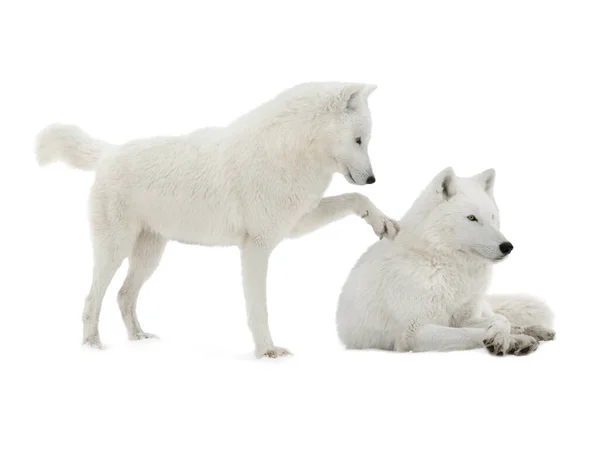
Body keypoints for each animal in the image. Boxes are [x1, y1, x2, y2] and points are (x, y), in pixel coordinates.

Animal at [38, 80, 404, 356]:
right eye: (359, 139)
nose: (372, 178)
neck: (288, 151)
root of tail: (109, 152)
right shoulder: (256, 248)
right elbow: (258, 308)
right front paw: (267, 352)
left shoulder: (294, 224)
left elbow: (355, 199)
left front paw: (382, 222)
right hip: (115, 251)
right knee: (92, 297)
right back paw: (92, 346)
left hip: (149, 256)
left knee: (124, 296)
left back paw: (139, 338)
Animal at [336, 168, 556, 354]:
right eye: (472, 218)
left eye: (493, 217)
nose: (507, 246)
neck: (446, 266)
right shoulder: (414, 332)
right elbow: (471, 333)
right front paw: (510, 341)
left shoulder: (466, 318)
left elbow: (501, 320)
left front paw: (508, 336)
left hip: (481, 307)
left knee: (502, 316)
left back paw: (537, 330)